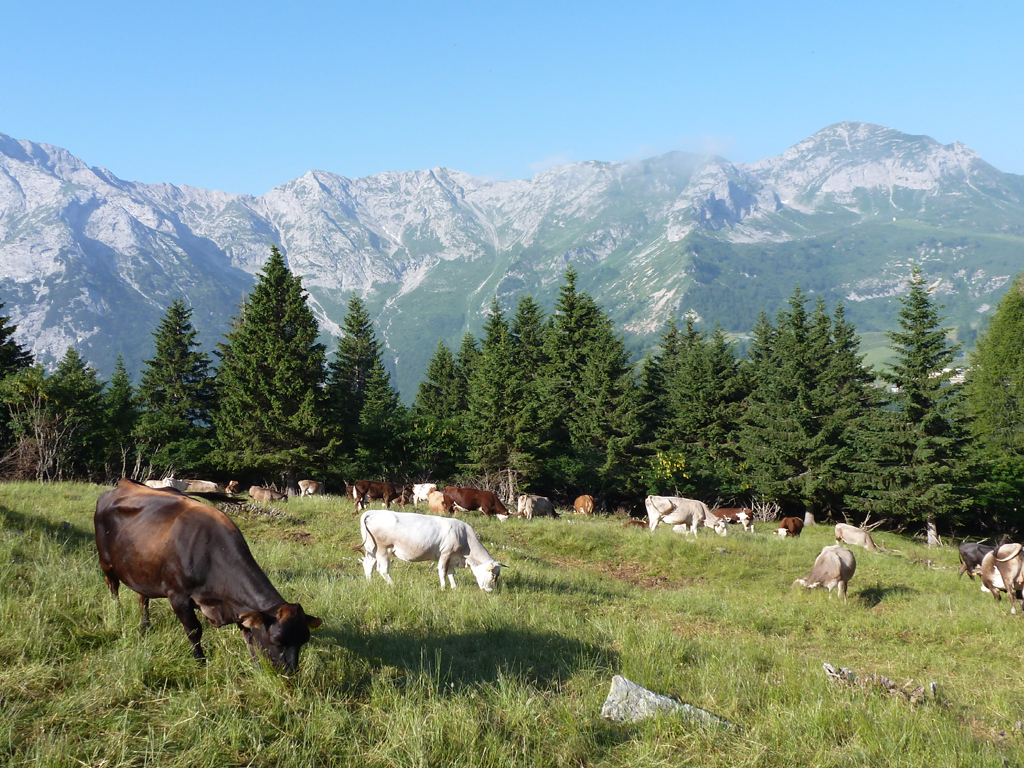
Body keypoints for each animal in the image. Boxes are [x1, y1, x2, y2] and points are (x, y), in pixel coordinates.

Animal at [95, 479, 321, 671]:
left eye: (304, 640)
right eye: (277, 640)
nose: (289, 674)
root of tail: (123, 484)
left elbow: (248, 637)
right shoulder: (178, 596)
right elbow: (194, 631)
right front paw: (200, 663)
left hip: (140, 567)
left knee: (142, 597)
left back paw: (145, 624)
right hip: (106, 563)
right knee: (113, 587)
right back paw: (117, 613)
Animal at [358, 514, 505, 593]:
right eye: (493, 576)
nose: (490, 591)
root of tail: (373, 512)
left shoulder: (453, 558)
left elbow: (451, 573)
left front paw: (454, 587)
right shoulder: (446, 553)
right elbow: (442, 571)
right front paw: (443, 588)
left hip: (371, 550)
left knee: (368, 566)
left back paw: (370, 583)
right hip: (384, 550)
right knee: (382, 569)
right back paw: (393, 585)